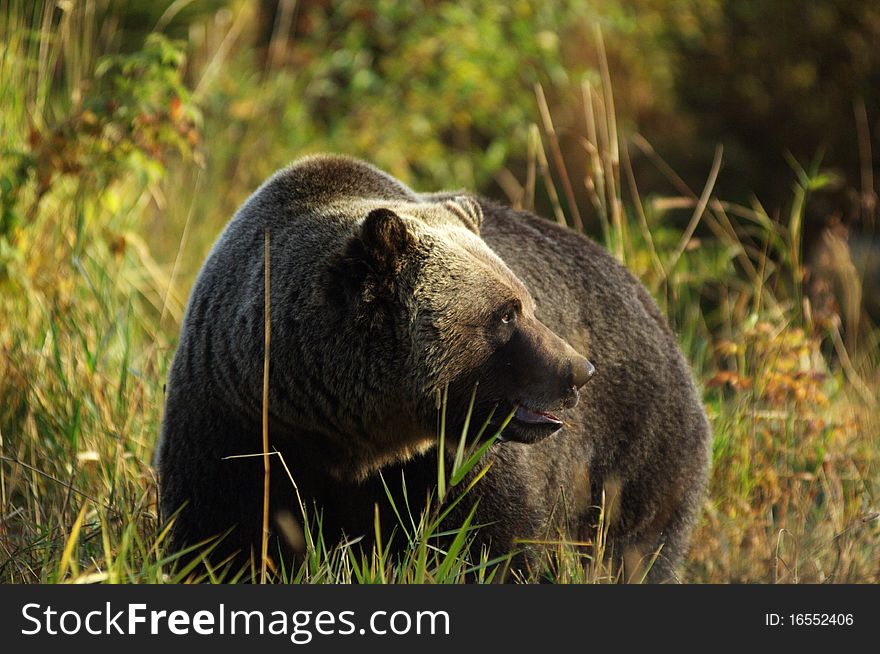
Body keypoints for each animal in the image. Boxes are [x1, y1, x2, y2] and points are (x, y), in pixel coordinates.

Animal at [155, 155, 712, 584]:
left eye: (528, 304)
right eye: (506, 314)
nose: (579, 370)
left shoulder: (459, 457)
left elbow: (487, 543)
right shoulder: (241, 424)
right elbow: (222, 536)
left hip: (633, 450)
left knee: (631, 547)